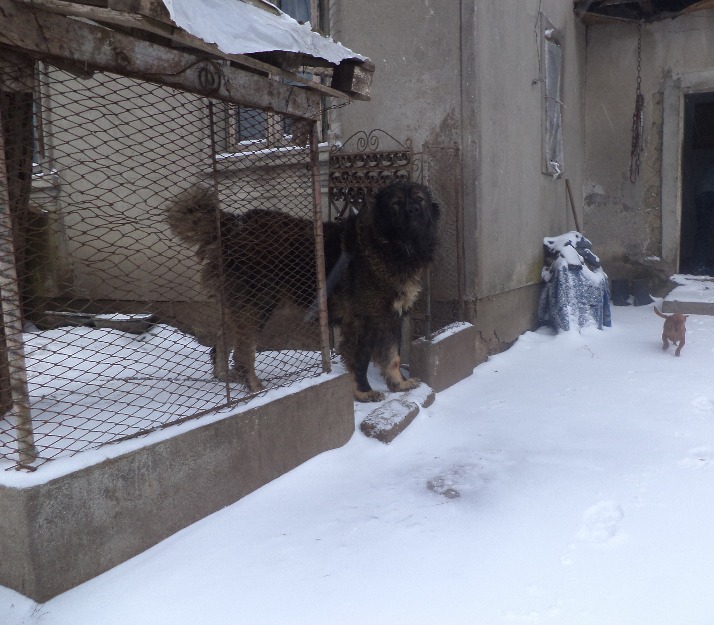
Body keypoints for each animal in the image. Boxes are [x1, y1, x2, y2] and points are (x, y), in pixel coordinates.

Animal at [165, 183, 440, 402]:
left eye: (419, 199)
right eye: (396, 203)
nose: (412, 211)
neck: (387, 246)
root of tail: (232, 225)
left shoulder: (390, 317)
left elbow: (393, 355)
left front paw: (399, 384)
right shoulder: (363, 321)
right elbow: (360, 359)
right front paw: (363, 392)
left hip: (239, 307)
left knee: (221, 342)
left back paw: (226, 378)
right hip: (257, 305)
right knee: (243, 355)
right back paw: (255, 388)